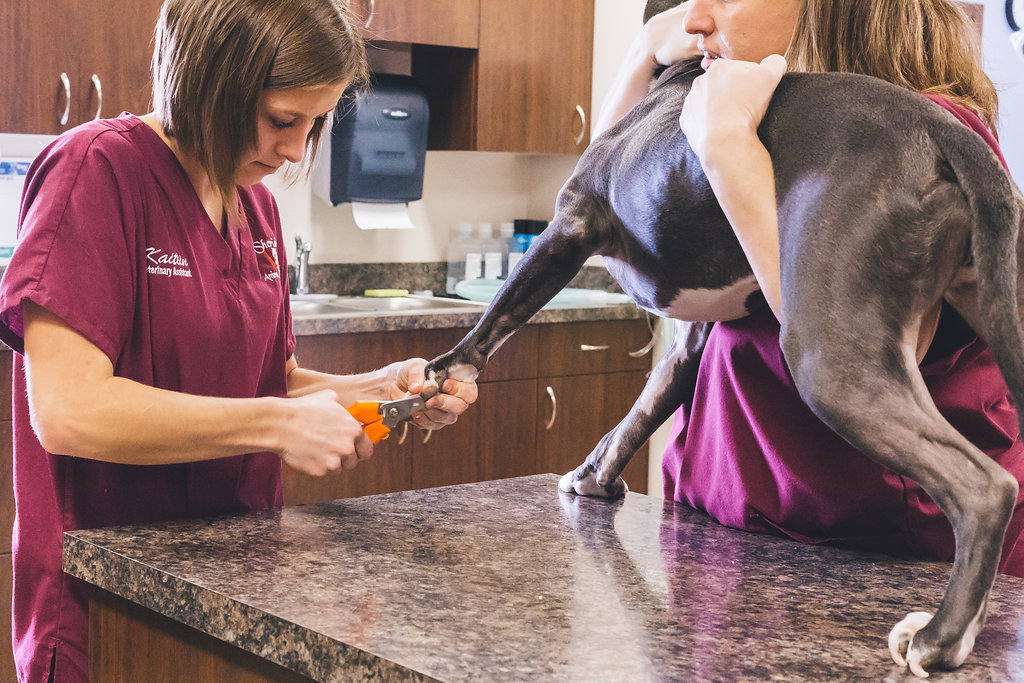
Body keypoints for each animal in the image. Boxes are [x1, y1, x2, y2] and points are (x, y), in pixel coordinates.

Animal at [421, 1, 1024, 679]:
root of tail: (939, 131)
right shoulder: (688, 340)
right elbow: (640, 411)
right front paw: (596, 475)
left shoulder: (571, 225)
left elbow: (503, 311)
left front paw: (446, 372)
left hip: (829, 360)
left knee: (983, 487)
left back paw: (939, 638)